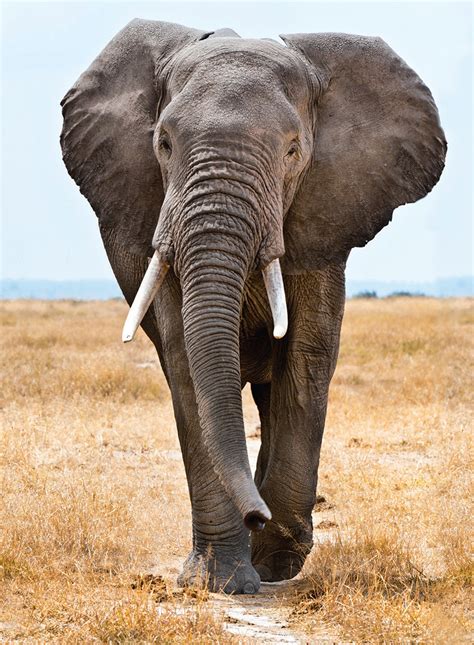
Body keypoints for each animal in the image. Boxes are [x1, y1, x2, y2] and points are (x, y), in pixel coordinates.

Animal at [60, 19, 446, 594]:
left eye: (293, 151)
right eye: (164, 143)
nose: (255, 515)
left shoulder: (321, 218)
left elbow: (307, 358)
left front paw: (275, 562)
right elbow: (187, 363)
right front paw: (219, 580)